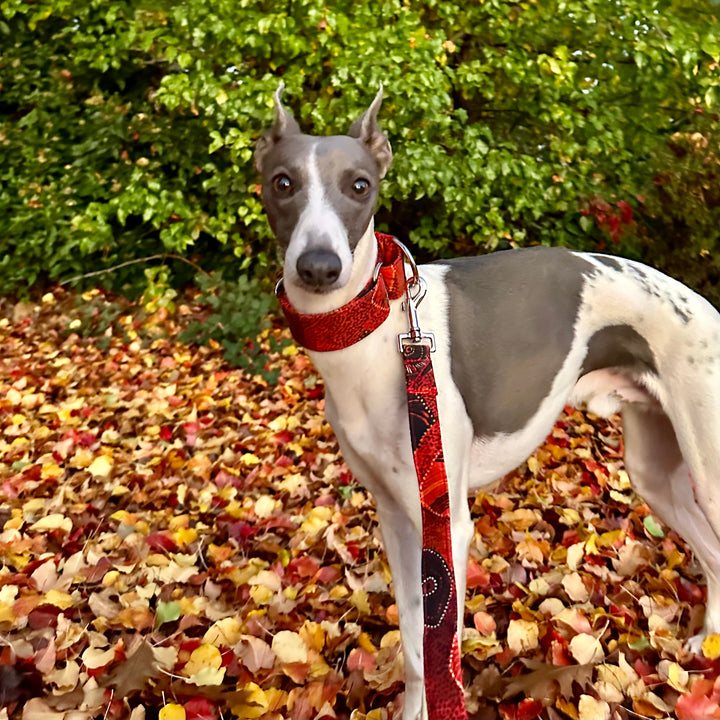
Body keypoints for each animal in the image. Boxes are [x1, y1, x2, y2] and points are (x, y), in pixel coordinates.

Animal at [255, 86, 720, 720]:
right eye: (282, 182)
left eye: (360, 185)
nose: (320, 268)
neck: (376, 337)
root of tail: (704, 306)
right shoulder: (398, 518)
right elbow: (417, 646)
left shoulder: (446, 524)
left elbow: (440, 646)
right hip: (656, 471)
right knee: (713, 553)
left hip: (707, 465)